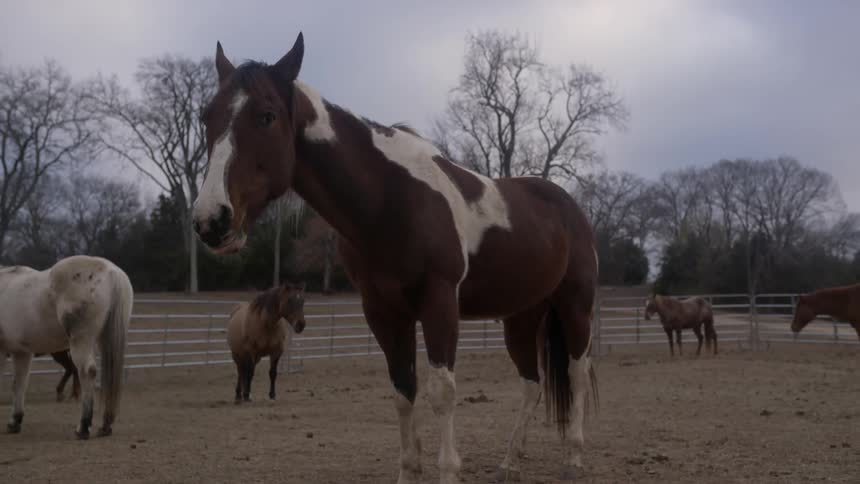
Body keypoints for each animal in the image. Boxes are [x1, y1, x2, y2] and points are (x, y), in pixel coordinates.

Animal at [0, 256, 132, 439]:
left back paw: (83, 427)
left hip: (80, 342)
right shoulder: (22, 353)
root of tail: (111, 272)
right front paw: (14, 421)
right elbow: (19, 384)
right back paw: (105, 426)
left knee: (87, 372)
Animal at [191, 33, 598, 483]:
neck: (391, 199)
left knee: (577, 372)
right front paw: (409, 469)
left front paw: (448, 471)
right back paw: (510, 461)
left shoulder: (439, 304)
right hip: (522, 316)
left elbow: (442, 392)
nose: (211, 220)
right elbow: (403, 391)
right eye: (206, 116)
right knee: (531, 383)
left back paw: (575, 456)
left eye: (266, 116)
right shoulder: (384, 311)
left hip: (575, 306)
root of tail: (568, 206)